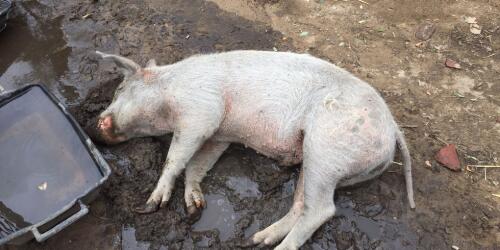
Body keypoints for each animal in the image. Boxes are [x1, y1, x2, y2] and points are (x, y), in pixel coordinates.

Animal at [94, 49, 414, 249]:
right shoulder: (219, 134)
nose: (96, 128)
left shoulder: (201, 113)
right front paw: (194, 206)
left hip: (328, 150)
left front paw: (148, 206)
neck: (168, 96)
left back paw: (276, 247)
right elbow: (198, 163)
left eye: (119, 90)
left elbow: (175, 158)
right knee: (302, 205)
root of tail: (392, 129)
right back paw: (257, 240)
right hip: (319, 162)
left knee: (323, 210)